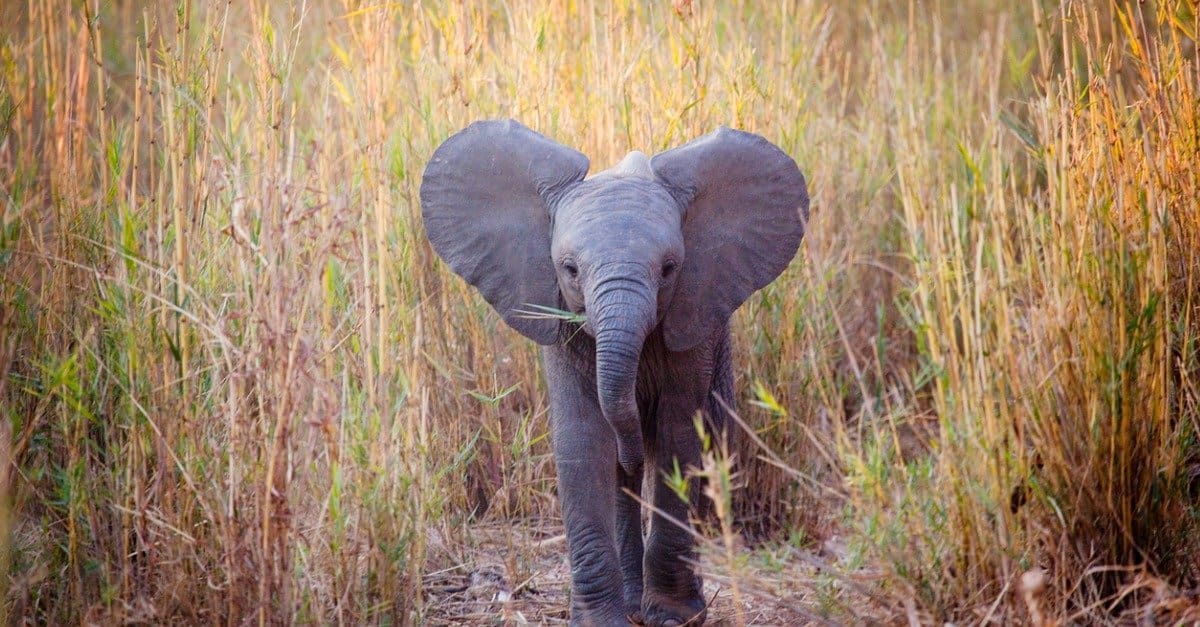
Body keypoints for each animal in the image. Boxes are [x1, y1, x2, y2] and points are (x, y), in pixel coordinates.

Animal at [420, 119, 806, 619]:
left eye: (669, 269)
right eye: (569, 269)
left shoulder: (694, 322)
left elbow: (680, 436)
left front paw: (673, 619)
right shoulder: (562, 323)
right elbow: (583, 440)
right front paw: (601, 621)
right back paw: (632, 604)